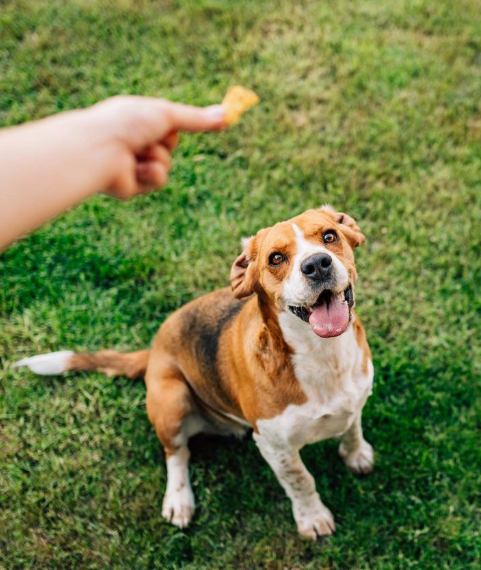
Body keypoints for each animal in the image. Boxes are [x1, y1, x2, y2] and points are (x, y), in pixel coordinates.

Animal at [15, 204, 376, 536]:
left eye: (329, 236)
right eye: (276, 258)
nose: (316, 264)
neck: (323, 356)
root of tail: (154, 351)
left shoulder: (355, 399)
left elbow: (353, 427)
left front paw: (356, 455)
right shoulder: (276, 447)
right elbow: (301, 481)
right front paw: (312, 518)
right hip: (172, 400)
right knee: (176, 453)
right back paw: (179, 500)